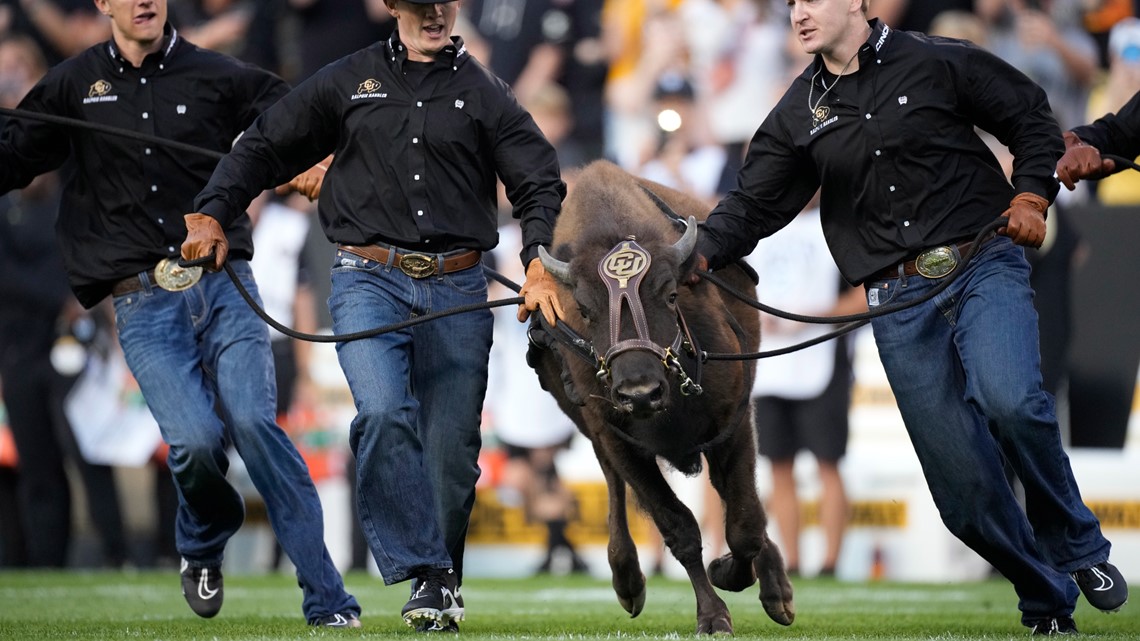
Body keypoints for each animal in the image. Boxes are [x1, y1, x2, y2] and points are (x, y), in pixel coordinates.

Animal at [524, 158, 793, 629]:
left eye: (670, 295)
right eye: (585, 310)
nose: (640, 394)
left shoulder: (733, 422)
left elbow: (744, 522)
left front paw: (732, 574)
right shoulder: (617, 439)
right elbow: (678, 527)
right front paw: (713, 616)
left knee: (737, 500)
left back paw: (777, 588)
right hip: (592, 429)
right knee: (614, 487)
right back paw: (628, 583)